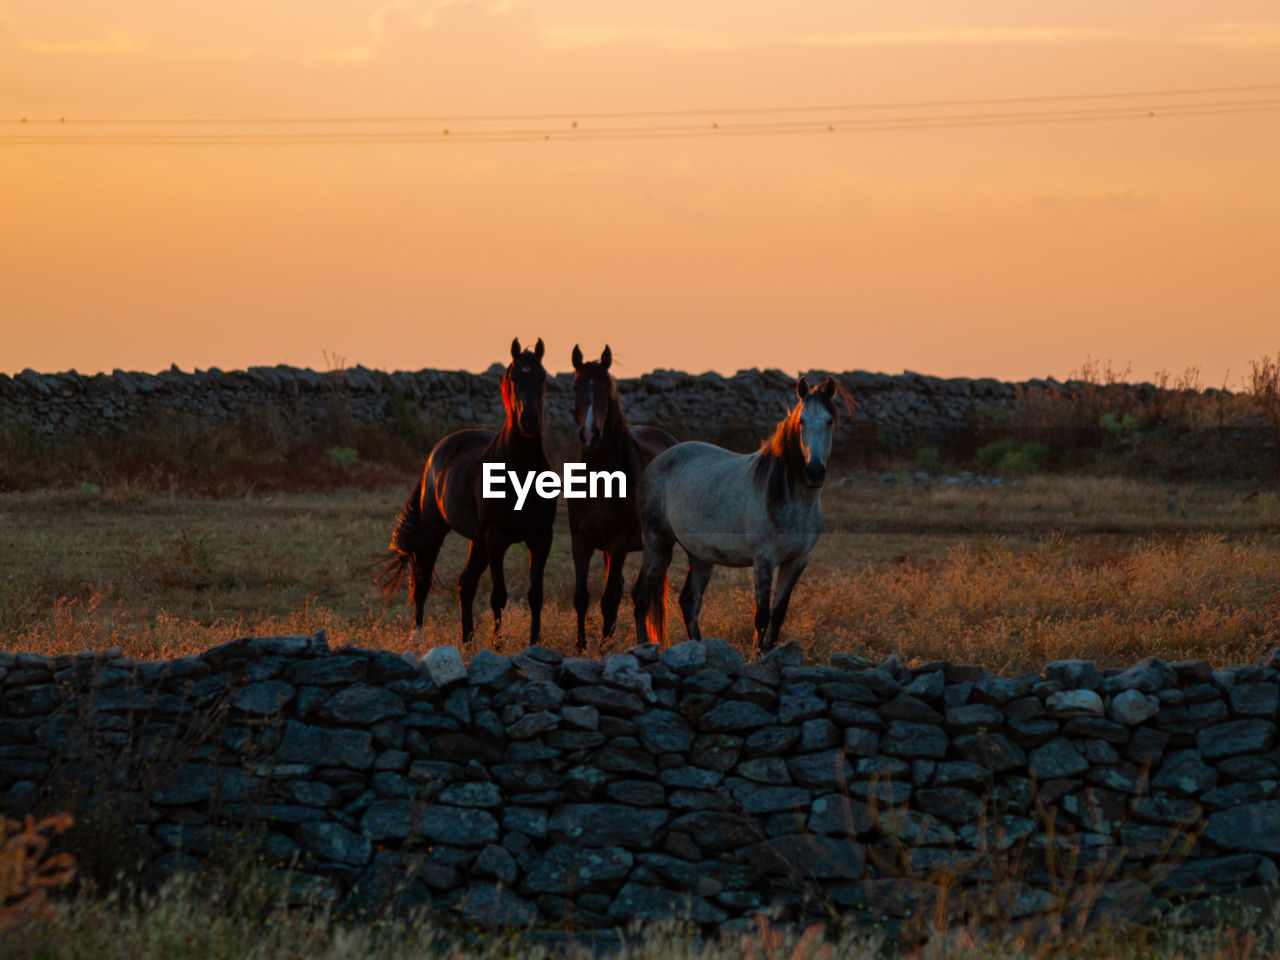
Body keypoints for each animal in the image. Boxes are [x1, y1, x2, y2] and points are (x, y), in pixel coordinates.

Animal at [378, 337, 560, 647]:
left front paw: (534, 644)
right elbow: (499, 596)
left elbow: (535, 595)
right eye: (514, 376)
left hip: (478, 541)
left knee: (466, 583)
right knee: (422, 582)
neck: (521, 468)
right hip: (437, 531)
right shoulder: (497, 539)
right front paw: (497, 646)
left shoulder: (540, 538)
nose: (528, 420)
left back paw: (468, 640)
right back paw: (418, 639)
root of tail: (438, 451)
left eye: (542, 376)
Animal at [565, 345, 675, 655]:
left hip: (659, 548)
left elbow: (609, 599)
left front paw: (604, 650)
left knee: (644, 596)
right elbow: (582, 597)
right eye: (576, 386)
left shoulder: (619, 545)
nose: (590, 435)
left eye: (606, 387)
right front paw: (581, 648)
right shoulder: (581, 541)